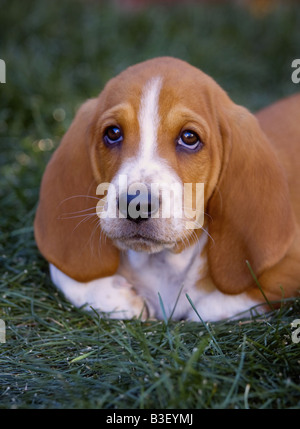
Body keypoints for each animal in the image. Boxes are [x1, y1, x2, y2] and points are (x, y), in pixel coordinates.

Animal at [33, 56, 300, 320]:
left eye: (190, 137)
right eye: (113, 133)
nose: (136, 204)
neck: (162, 262)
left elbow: (206, 310)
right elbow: (64, 274)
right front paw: (123, 298)